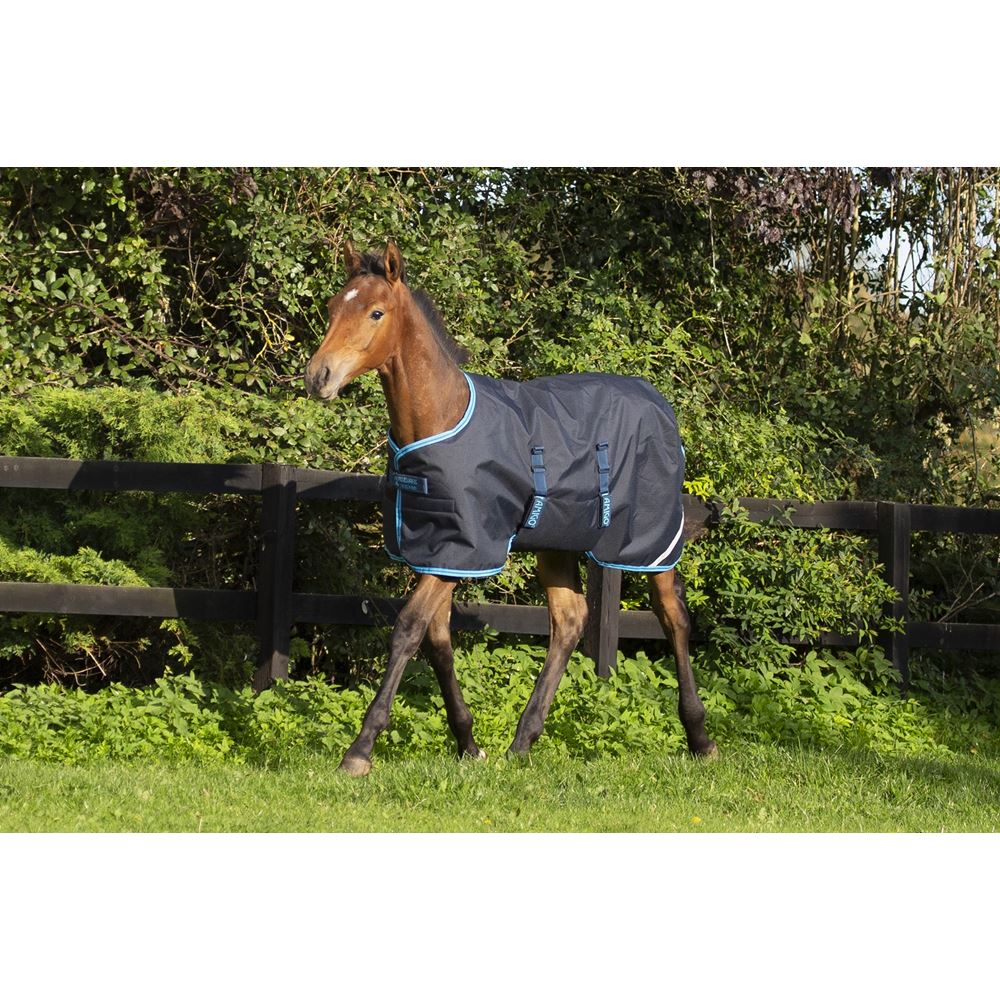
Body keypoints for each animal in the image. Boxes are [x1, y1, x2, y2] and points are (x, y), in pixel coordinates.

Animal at [305, 239, 717, 775]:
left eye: (376, 312)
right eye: (333, 307)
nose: (318, 376)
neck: (442, 418)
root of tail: (660, 404)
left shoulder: (465, 549)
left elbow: (408, 629)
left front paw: (359, 751)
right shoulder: (439, 550)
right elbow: (437, 639)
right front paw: (469, 743)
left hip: (650, 541)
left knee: (673, 617)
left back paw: (700, 738)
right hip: (557, 543)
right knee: (569, 620)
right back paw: (523, 741)